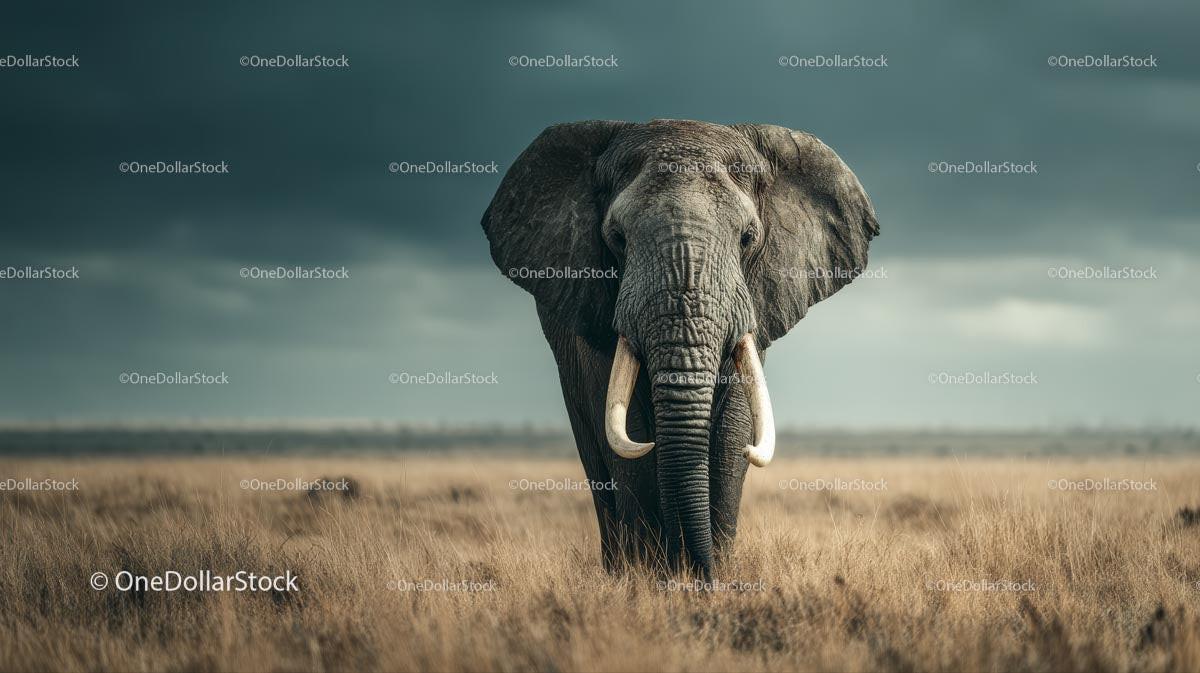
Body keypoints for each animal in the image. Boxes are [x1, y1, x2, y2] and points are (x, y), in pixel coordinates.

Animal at [482, 119, 878, 579]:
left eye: (748, 239)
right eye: (616, 238)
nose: (697, 572)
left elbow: (732, 432)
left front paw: (711, 576)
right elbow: (628, 433)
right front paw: (649, 579)